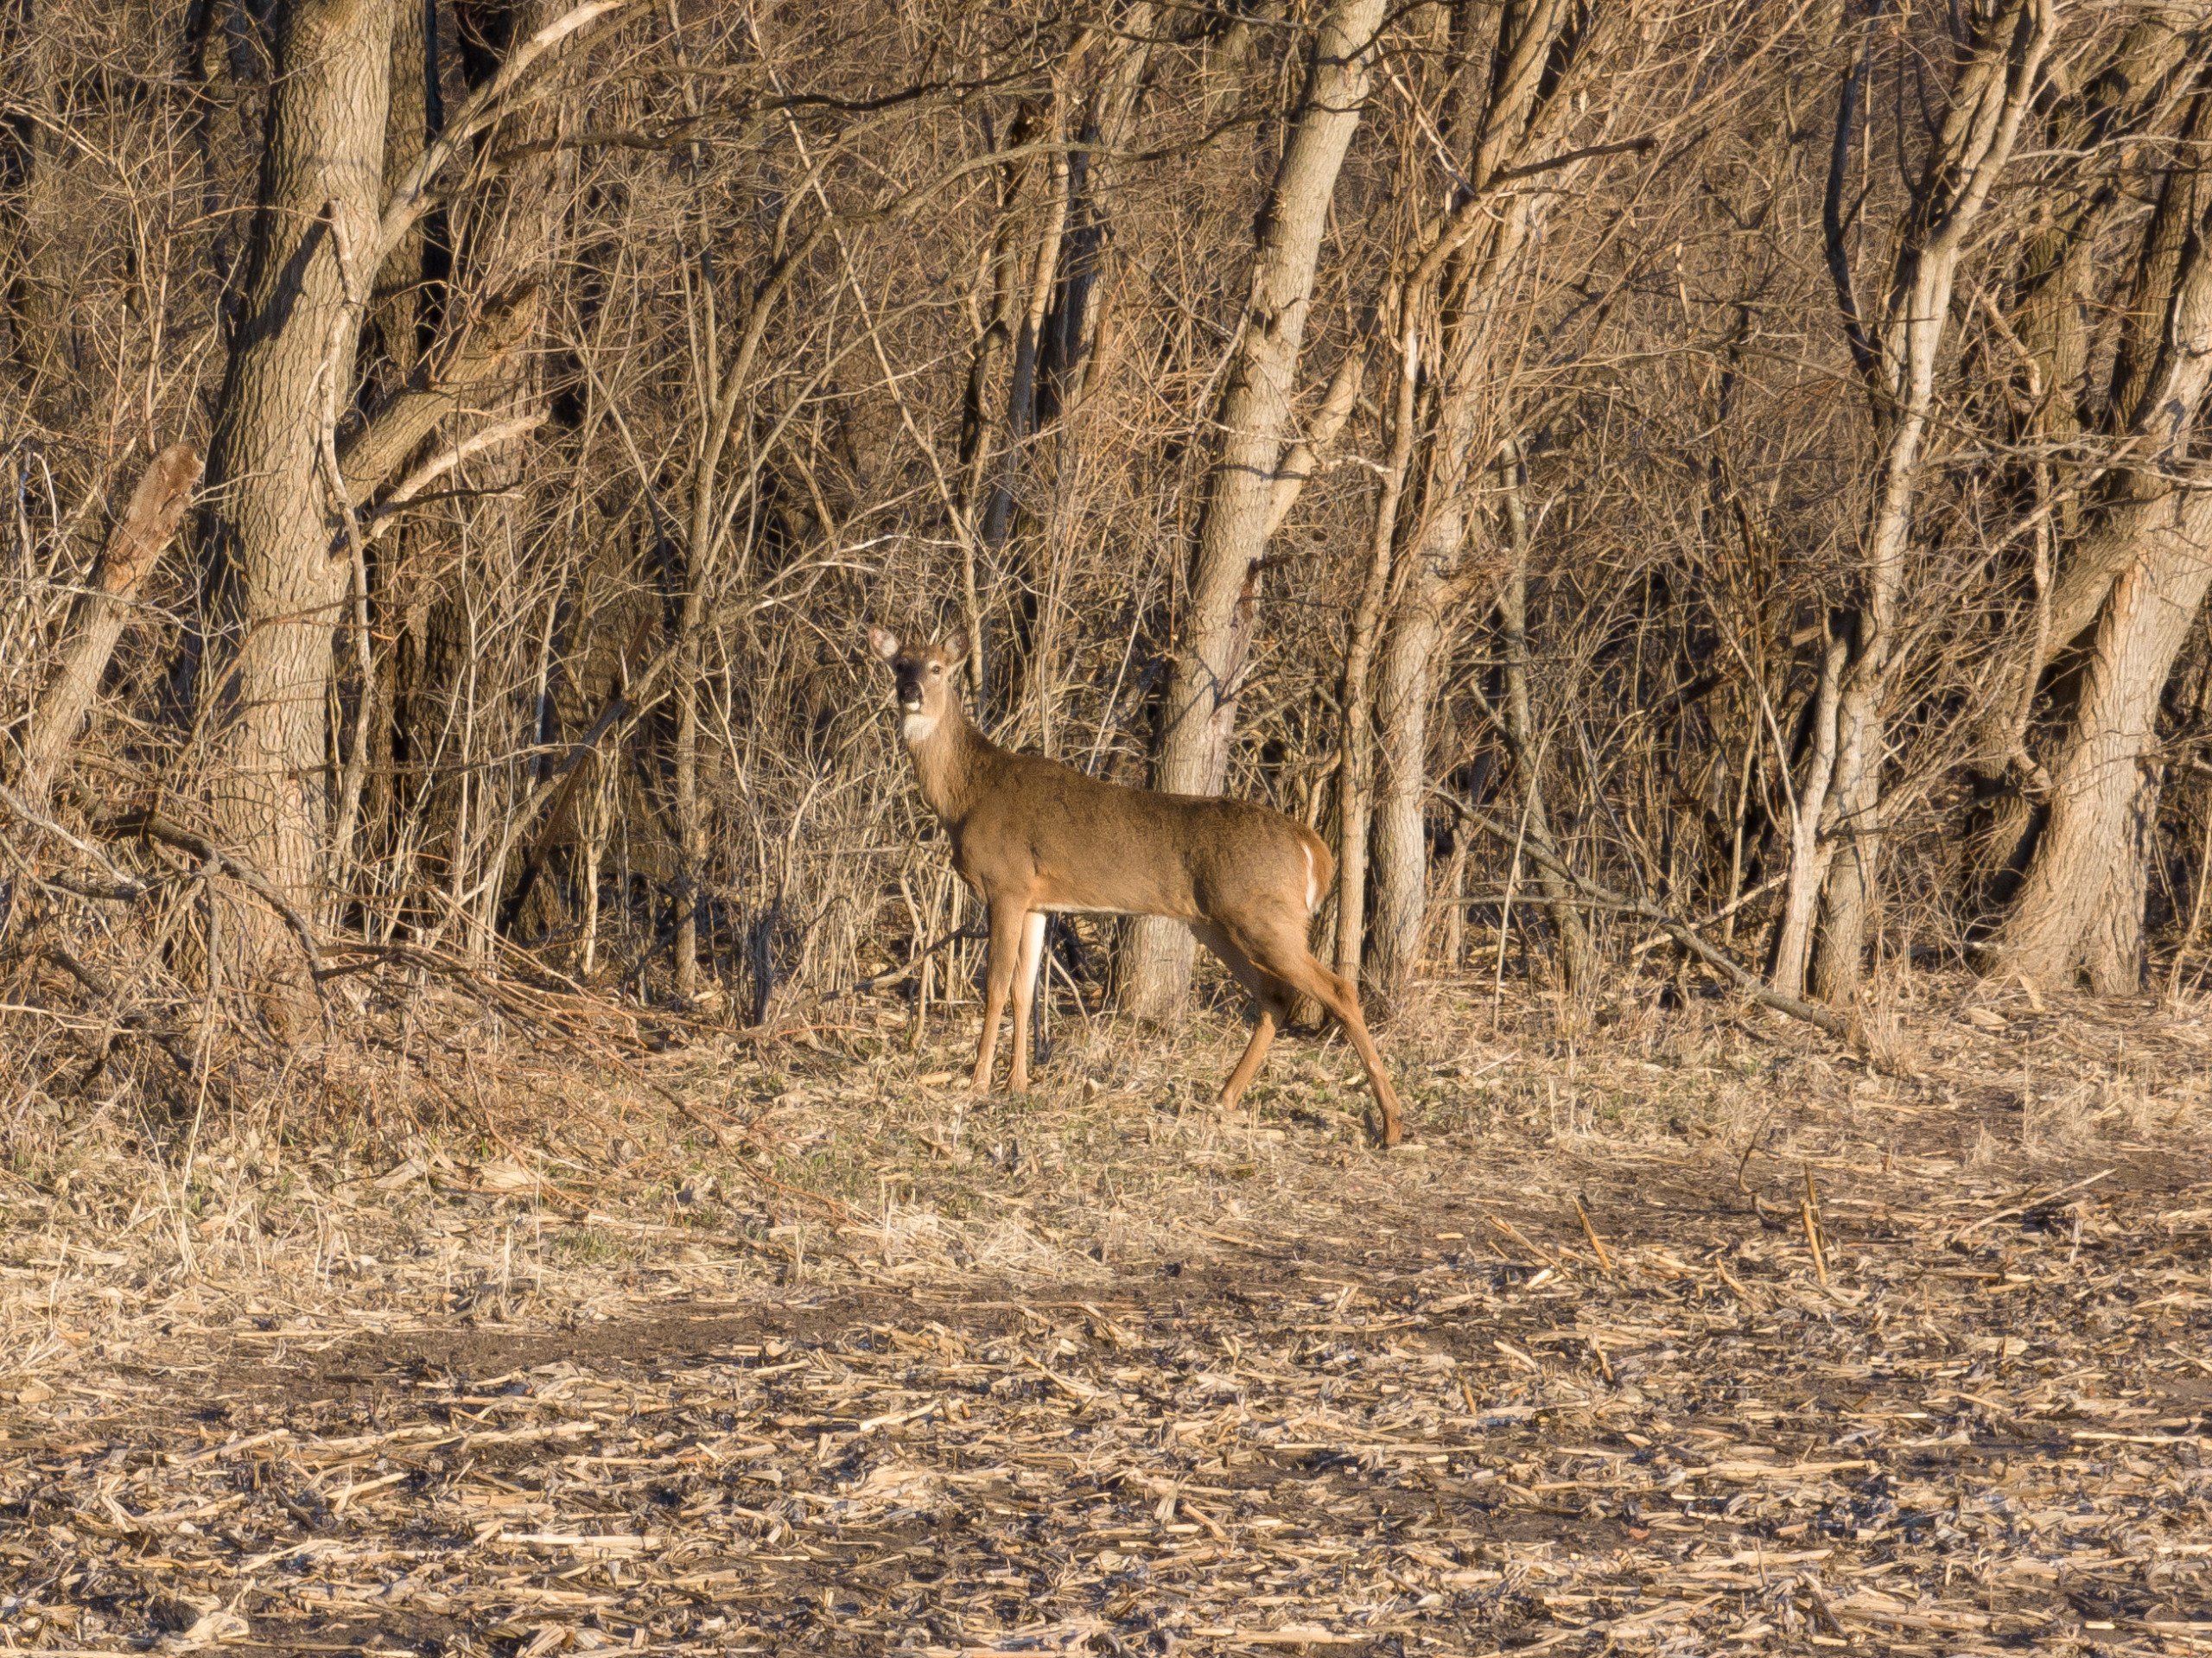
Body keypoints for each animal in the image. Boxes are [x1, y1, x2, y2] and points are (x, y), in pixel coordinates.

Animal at [862, 623, 1397, 1140]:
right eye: (899, 664)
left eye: (936, 667)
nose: (910, 691)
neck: (967, 796)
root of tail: (1313, 848)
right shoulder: (1036, 901)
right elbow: (1024, 990)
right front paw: (1017, 1084)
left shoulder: (1006, 884)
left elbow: (994, 987)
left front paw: (977, 1084)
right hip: (1219, 923)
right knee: (1274, 996)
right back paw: (1225, 1098)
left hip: (1263, 914)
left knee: (1338, 989)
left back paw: (1391, 1123)